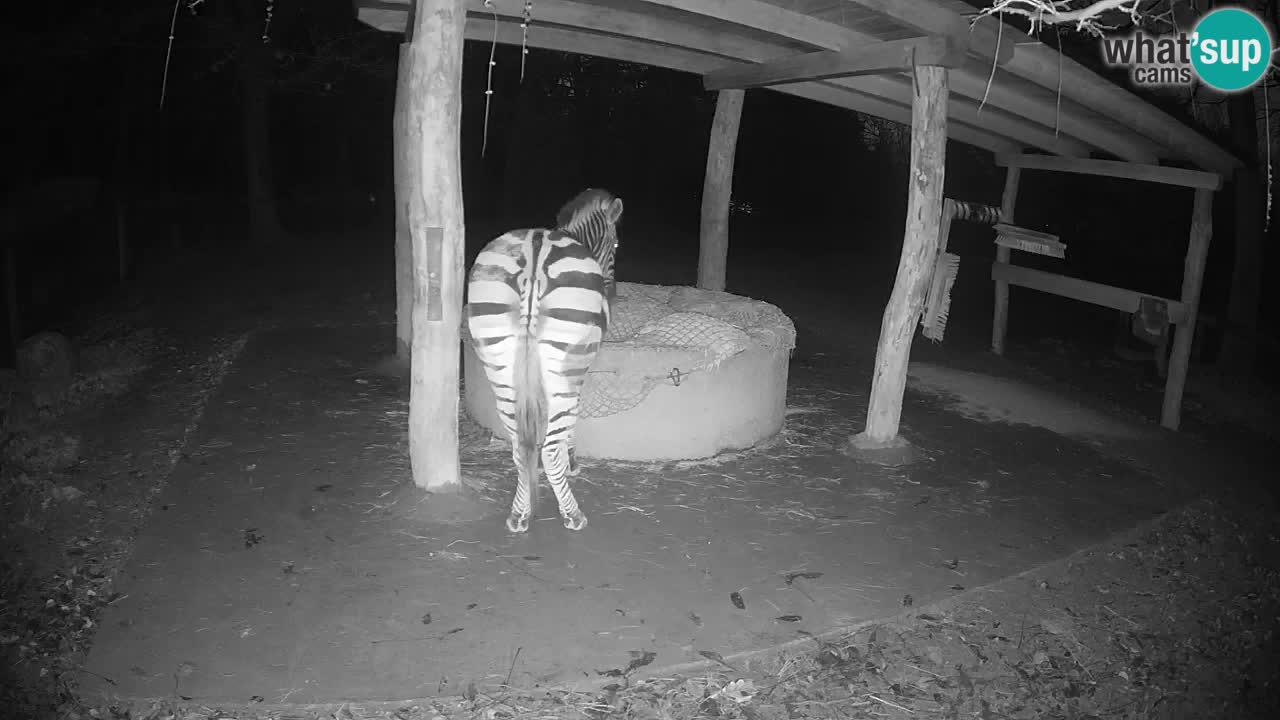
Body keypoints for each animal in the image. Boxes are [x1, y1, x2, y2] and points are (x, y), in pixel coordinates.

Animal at [465, 189, 624, 533]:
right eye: (616, 244)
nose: (613, 294)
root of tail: (534, 254)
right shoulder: (578, 371)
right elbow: (567, 425)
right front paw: (571, 460)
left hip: (500, 367)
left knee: (517, 447)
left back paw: (519, 513)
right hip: (564, 367)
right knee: (548, 450)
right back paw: (573, 515)